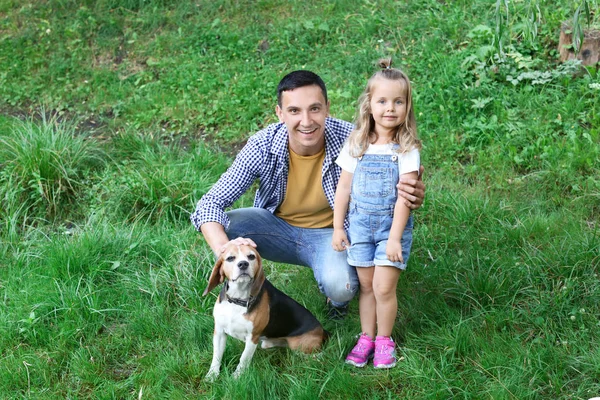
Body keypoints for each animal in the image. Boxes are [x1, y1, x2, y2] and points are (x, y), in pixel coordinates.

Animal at [205, 242, 328, 380]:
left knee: (318, 356)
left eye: (251, 256)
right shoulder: (219, 332)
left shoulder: (252, 338)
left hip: (298, 345)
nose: (243, 264)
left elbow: (243, 359)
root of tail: (322, 330)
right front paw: (212, 375)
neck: (238, 299)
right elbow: (217, 356)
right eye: (230, 258)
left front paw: (236, 377)